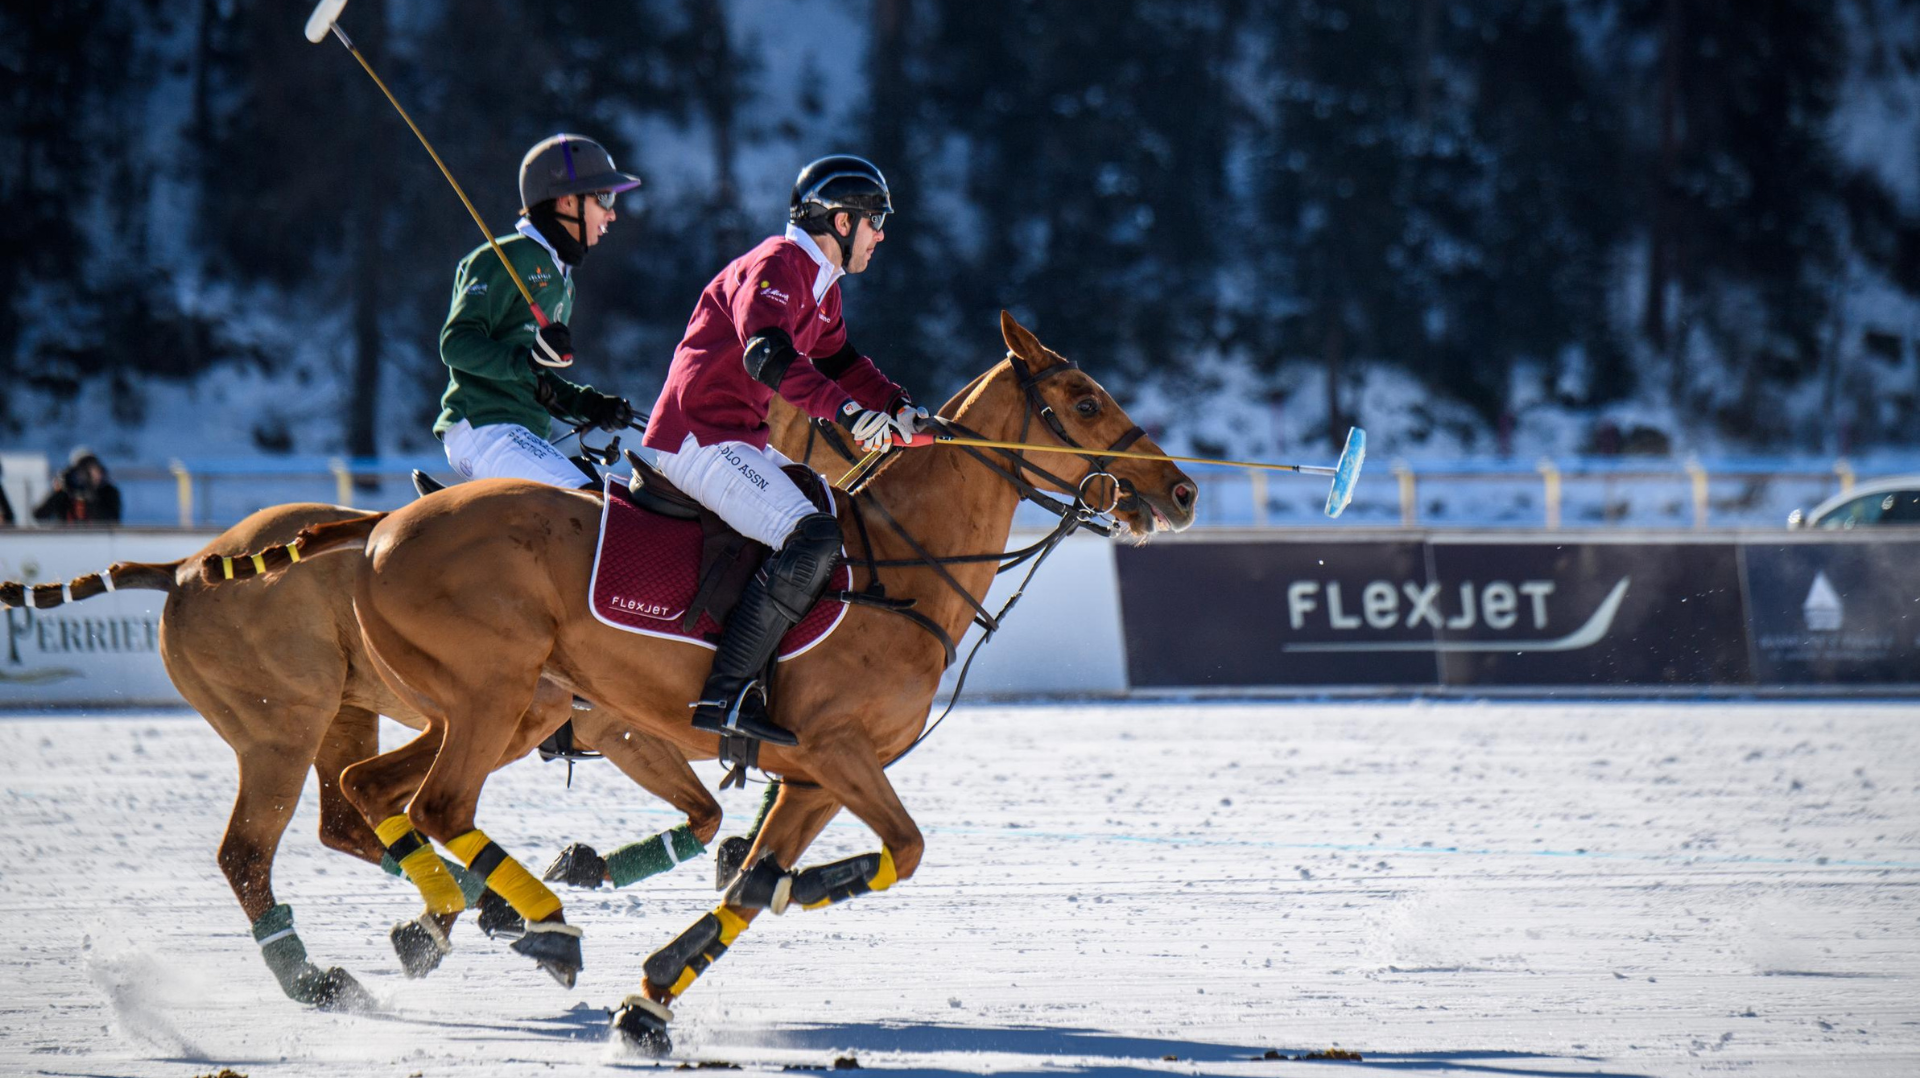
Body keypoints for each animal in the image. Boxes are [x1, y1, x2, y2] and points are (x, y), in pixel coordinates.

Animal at [214, 309, 1198, 1045]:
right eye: (1084, 399)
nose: (1183, 493)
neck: (905, 564)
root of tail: (377, 528)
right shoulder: (831, 750)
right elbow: (903, 847)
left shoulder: (810, 774)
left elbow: (759, 874)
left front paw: (652, 998)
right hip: (493, 697)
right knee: (427, 808)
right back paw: (539, 926)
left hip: (487, 706)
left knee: (369, 785)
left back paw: (456, 921)